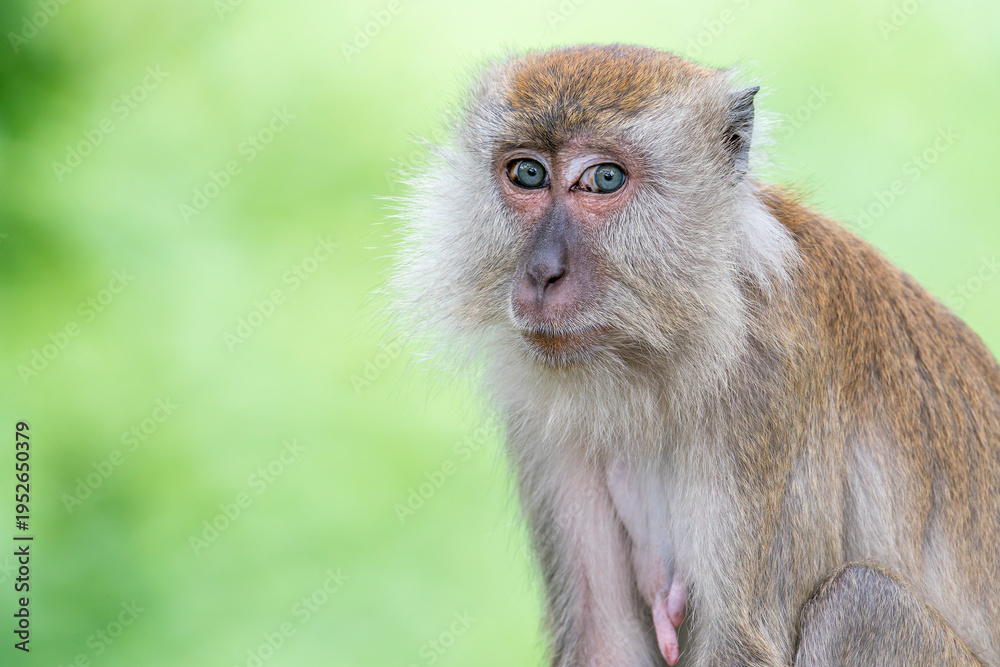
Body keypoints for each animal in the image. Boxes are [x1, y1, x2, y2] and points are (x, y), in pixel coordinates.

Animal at [389, 44, 1000, 666]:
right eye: (527, 173)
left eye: (604, 178)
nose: (542, 272)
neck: (665, 351)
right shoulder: (543, 411)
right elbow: (605, 637)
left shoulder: (768, 381)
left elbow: (742, 638)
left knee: (862, 604)